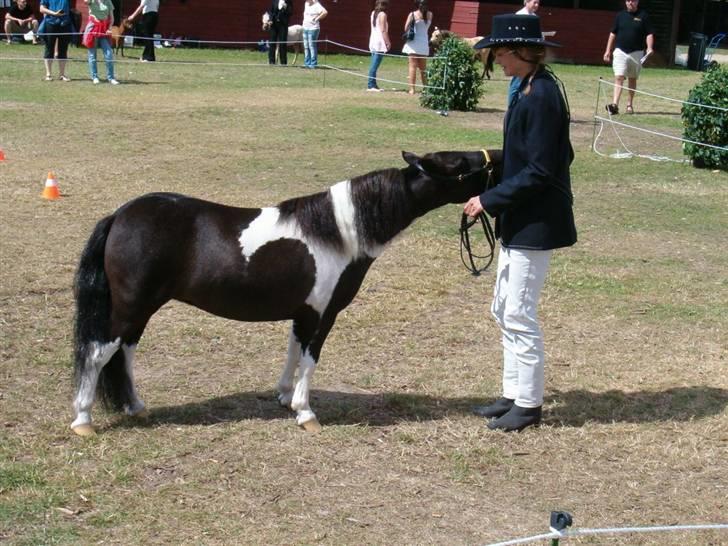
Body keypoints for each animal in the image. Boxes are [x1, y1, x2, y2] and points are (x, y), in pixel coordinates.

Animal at [72, 149, 500, 434]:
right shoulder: (323, 315)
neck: (338, 234)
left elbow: (293, 351)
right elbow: (309, 359)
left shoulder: (302, 313)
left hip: (141, 309)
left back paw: (136, 407)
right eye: (461, 164)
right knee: (98, 353)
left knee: (124, 352)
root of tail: (120, 216)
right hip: (131, 306)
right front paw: (305, 413)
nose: (495, 155)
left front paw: (283, 396)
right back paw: (83, 420)